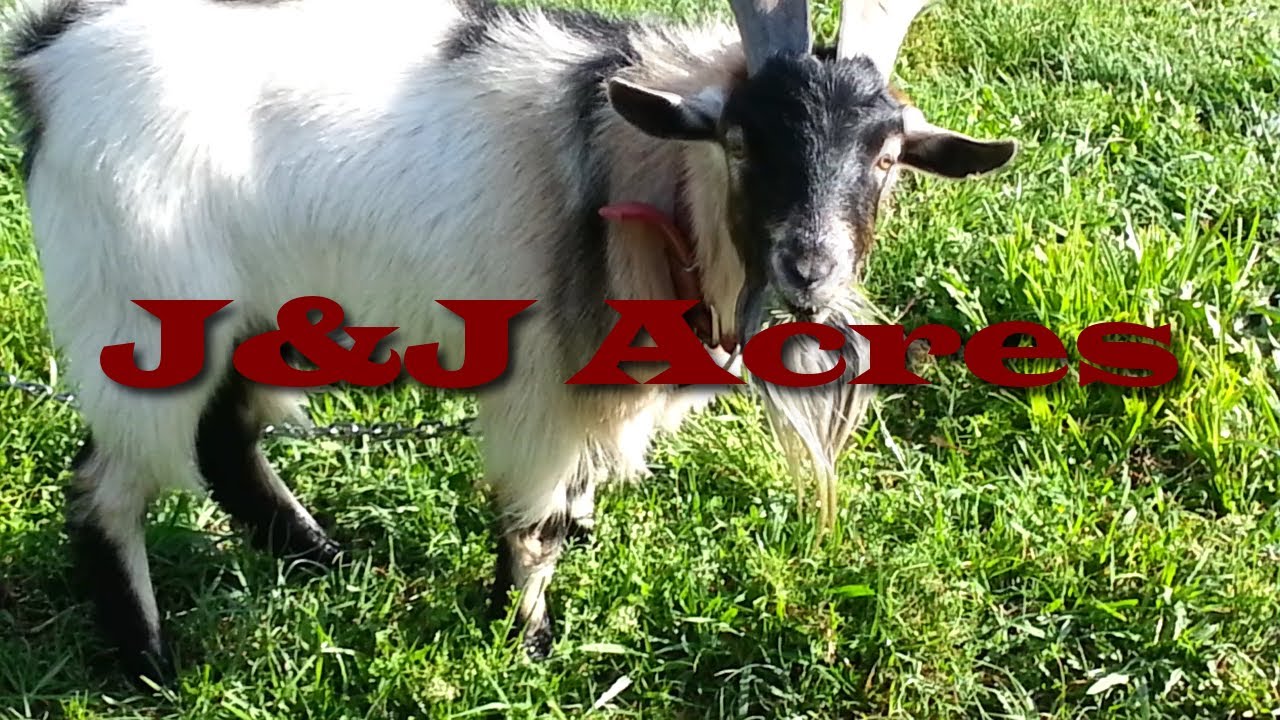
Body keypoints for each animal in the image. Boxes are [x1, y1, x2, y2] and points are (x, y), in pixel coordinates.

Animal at [3, 0, 1016, 686]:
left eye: (887, 153)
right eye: (737, 139)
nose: (810, 267)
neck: (633, 167)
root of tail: (49, 57)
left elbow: (571, 505)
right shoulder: (543, 391)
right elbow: (536, 523)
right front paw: (522, 644)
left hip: (265, 309)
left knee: (225, 439)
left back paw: (326, 559)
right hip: (141, 314)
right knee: (105, 488)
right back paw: (147, 659)